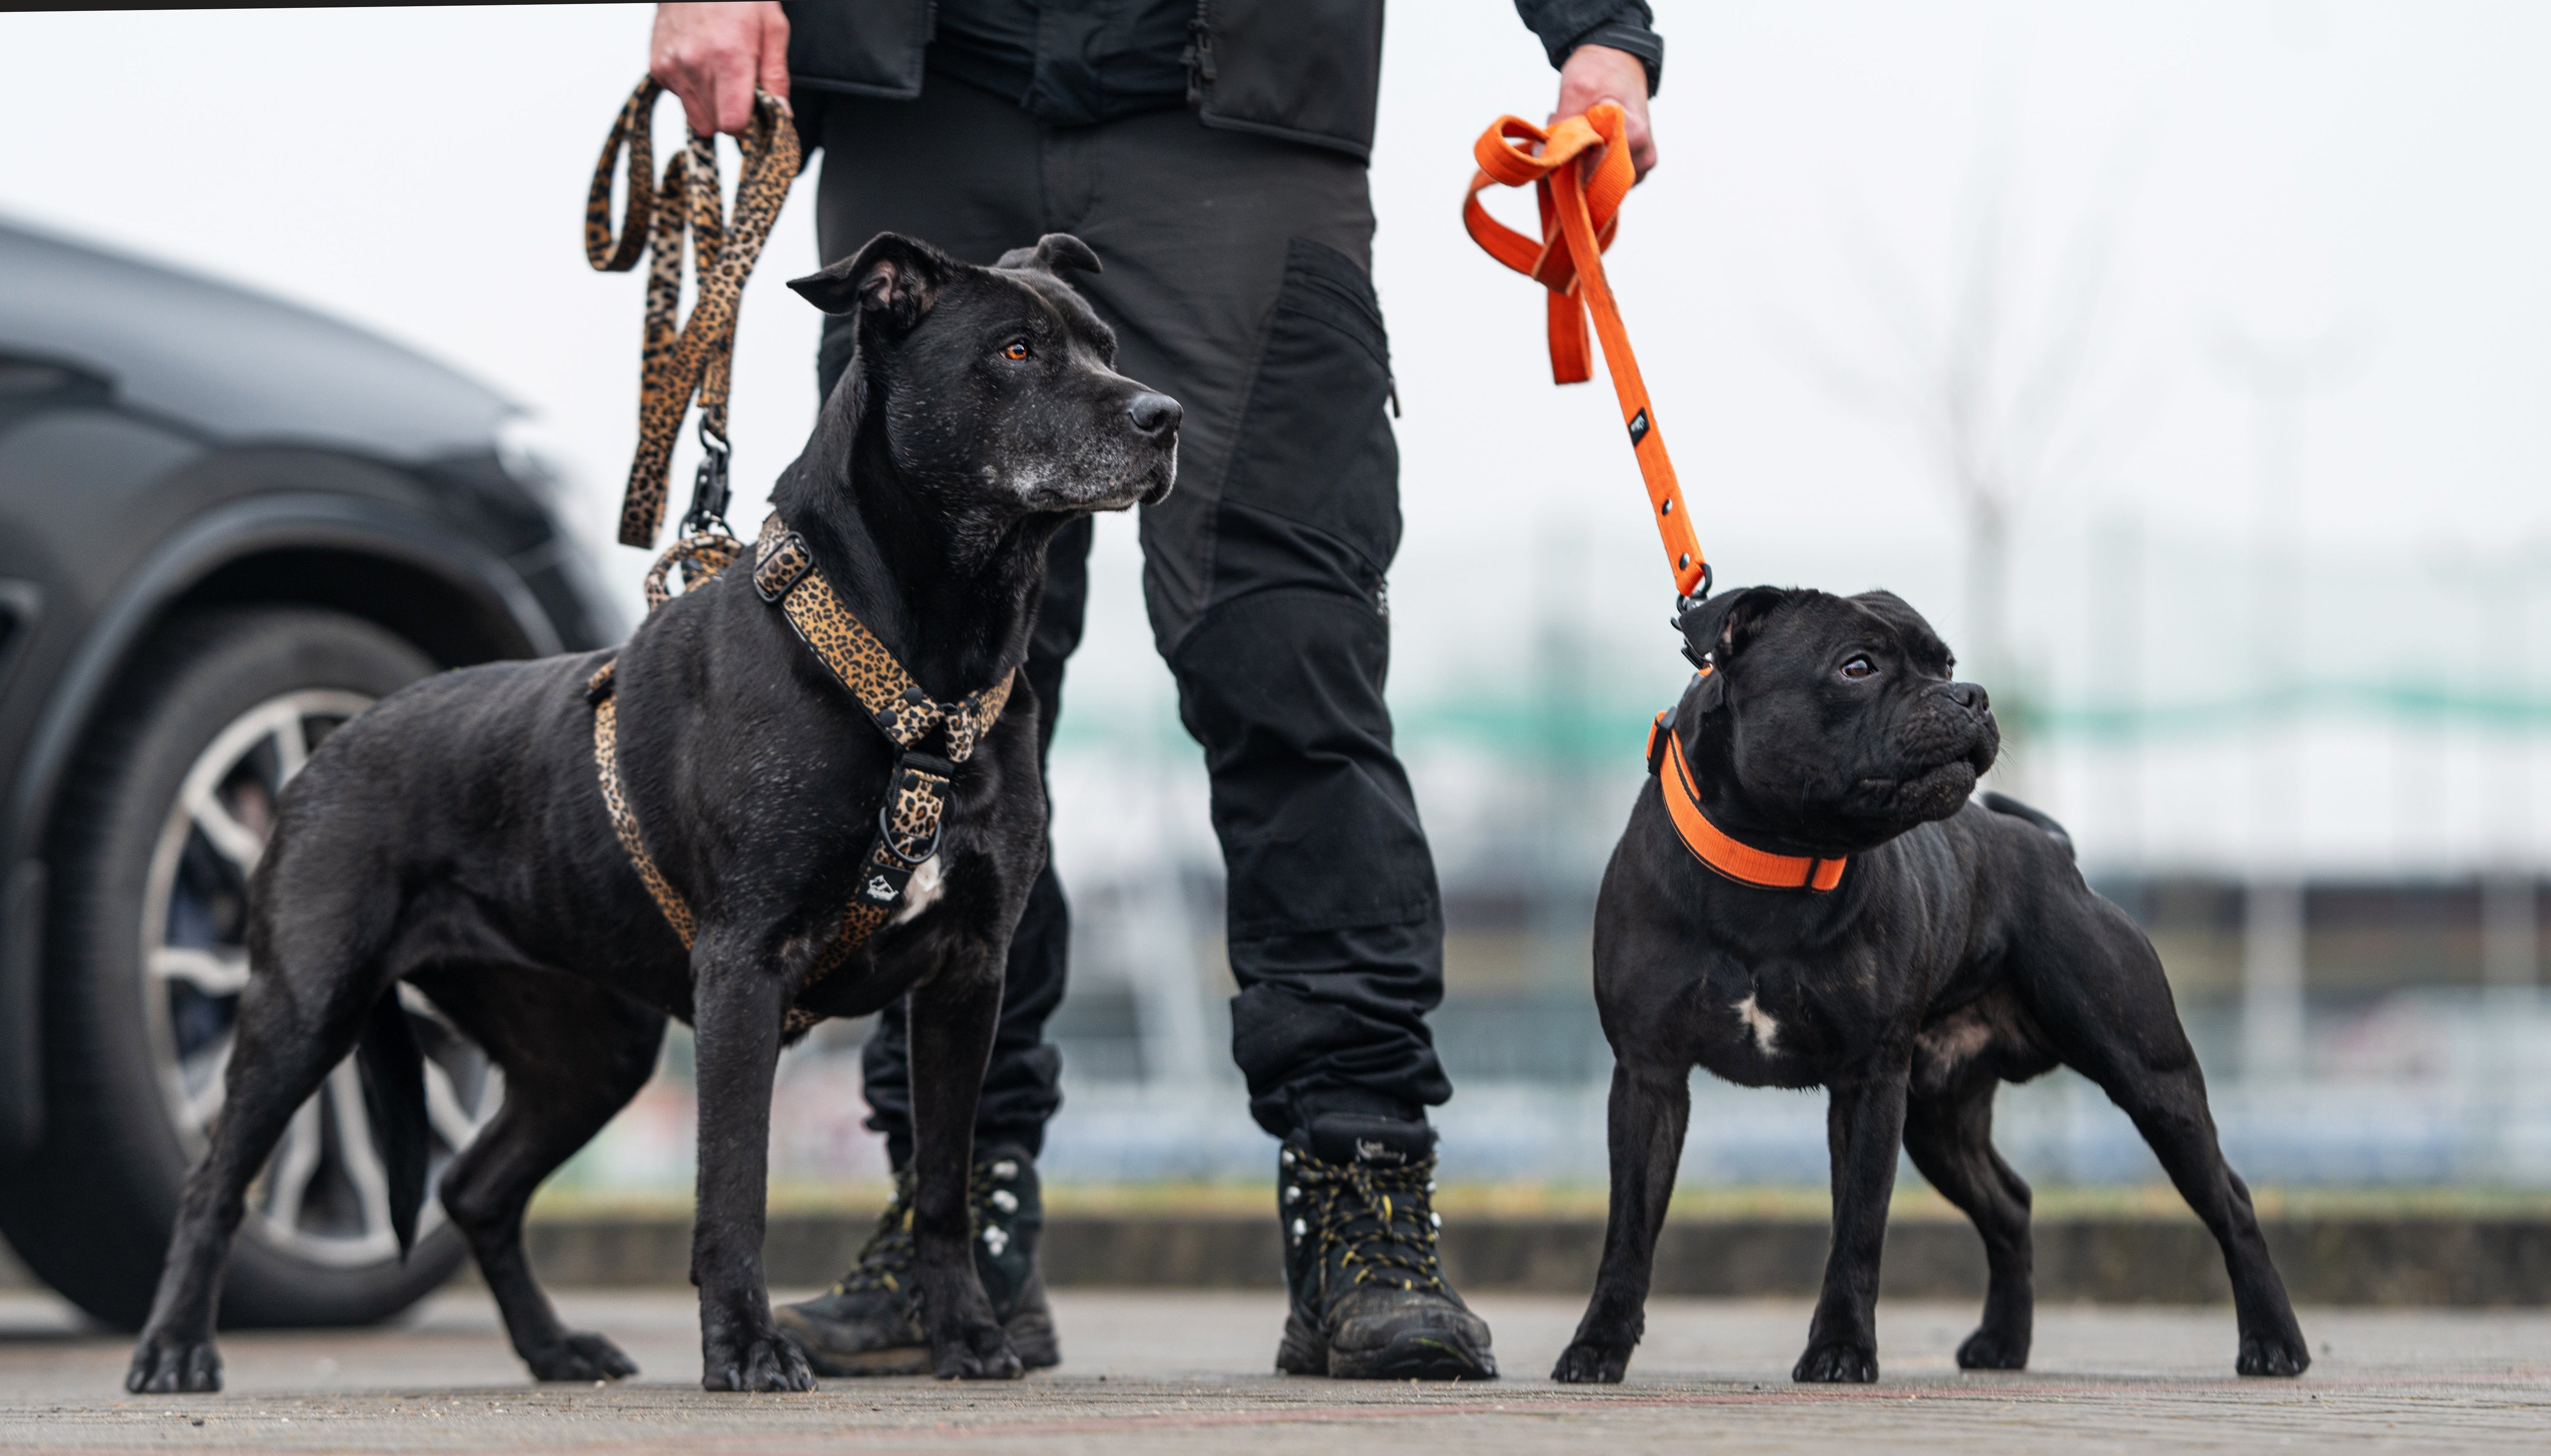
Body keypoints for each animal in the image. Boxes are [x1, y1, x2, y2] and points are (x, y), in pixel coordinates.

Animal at [125, 231, 1179, 1393]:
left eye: (1105, 344)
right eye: (1015, 349)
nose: (1163, 416)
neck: (924, 675)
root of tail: (328, 745)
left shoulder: (967, 975)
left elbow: (942, 1184)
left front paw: (968, 1339)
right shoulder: (746, 966)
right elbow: (733, 1184)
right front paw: (747, 1348)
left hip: (585, 1048)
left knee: (474, 1187)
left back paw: (556, 1347)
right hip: (306, 1007)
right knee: (215, 1182)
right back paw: (173, 1348)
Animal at [1552, 586, 2308, 1384]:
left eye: (1944, 663)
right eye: (1857, 666)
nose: (1970, 694)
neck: (1772, 859)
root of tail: (2052, 850)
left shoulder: (1870, 1083)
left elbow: (1858, 1228)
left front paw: (1841, 1348)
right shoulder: (1650, 1077)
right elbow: (1628, 1230)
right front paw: (1597, 1345)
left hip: (2151, 1079)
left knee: (2230, 1198)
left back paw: (2274, 1342)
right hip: (1940, 1119)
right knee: (2011, 1205)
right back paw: (2003, 1343)